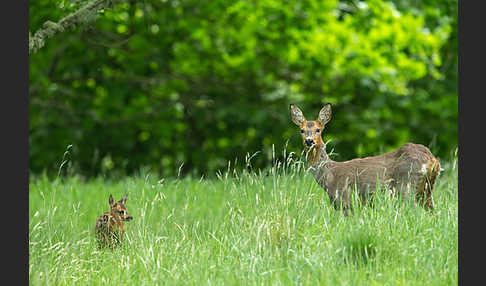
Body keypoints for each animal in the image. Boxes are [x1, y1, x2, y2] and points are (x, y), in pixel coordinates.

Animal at [290, 103, 442, 214]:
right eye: (302, 130)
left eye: (318, 130)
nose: (309, 141)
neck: (329, 174)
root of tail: (432, 159)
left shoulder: (345, 195)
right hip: (427, 189)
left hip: (406, 183)